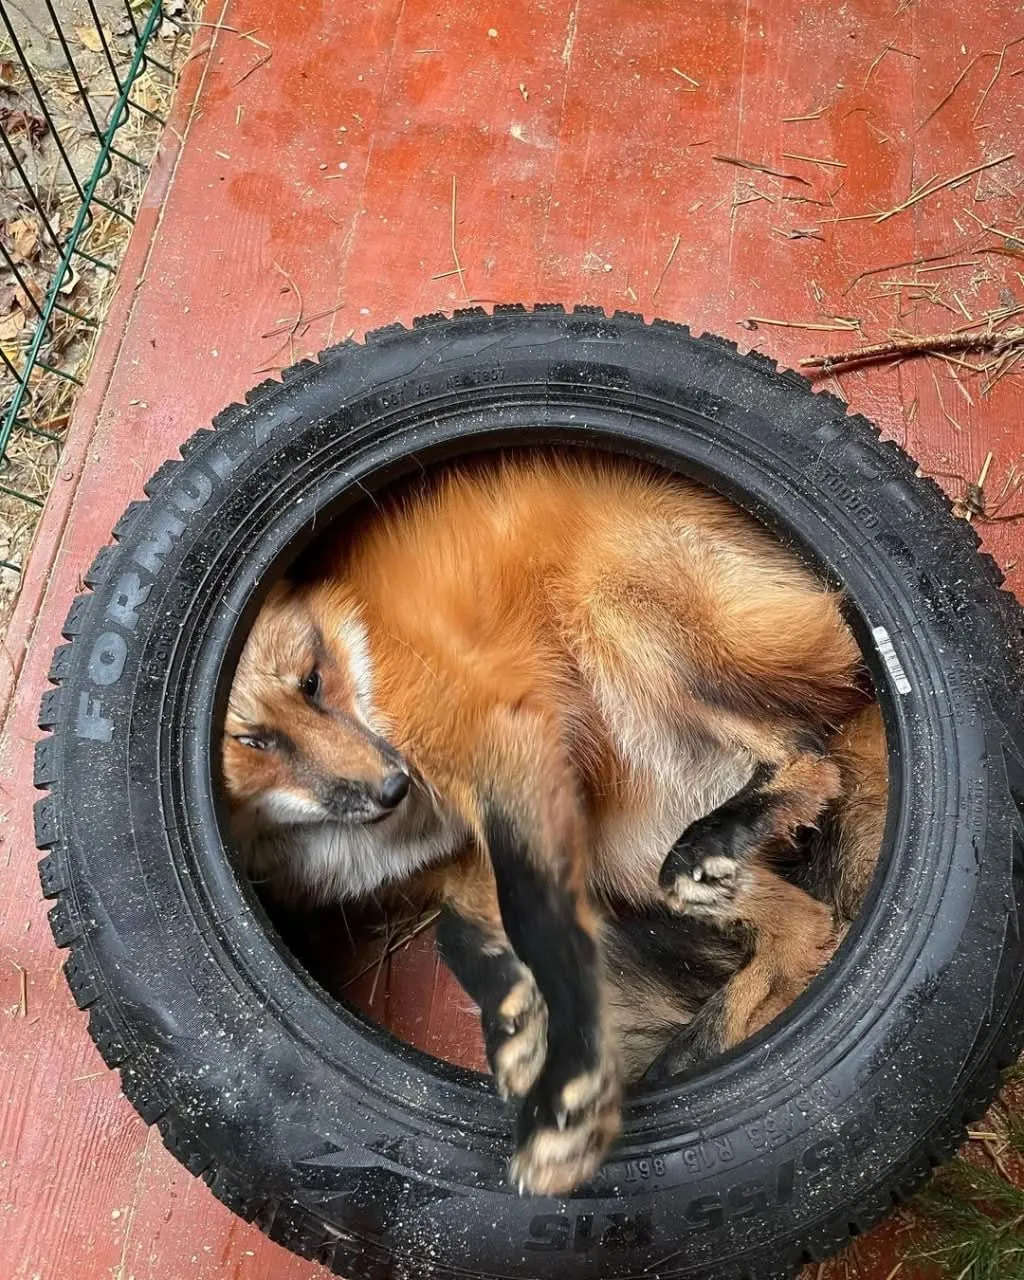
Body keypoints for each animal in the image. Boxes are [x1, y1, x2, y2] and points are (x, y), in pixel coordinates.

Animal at [222, 450, 886, 1195]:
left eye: (312, 681)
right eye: (253, 742)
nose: (393, 788)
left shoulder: (512, 749)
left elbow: (532, 926)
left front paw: (565, 1082)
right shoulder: (466, 856)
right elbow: (464, 936)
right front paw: (518, 1023)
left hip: (614, 615)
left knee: (810, 756)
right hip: (626, 854)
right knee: (805, 927)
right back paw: (693, 1053)